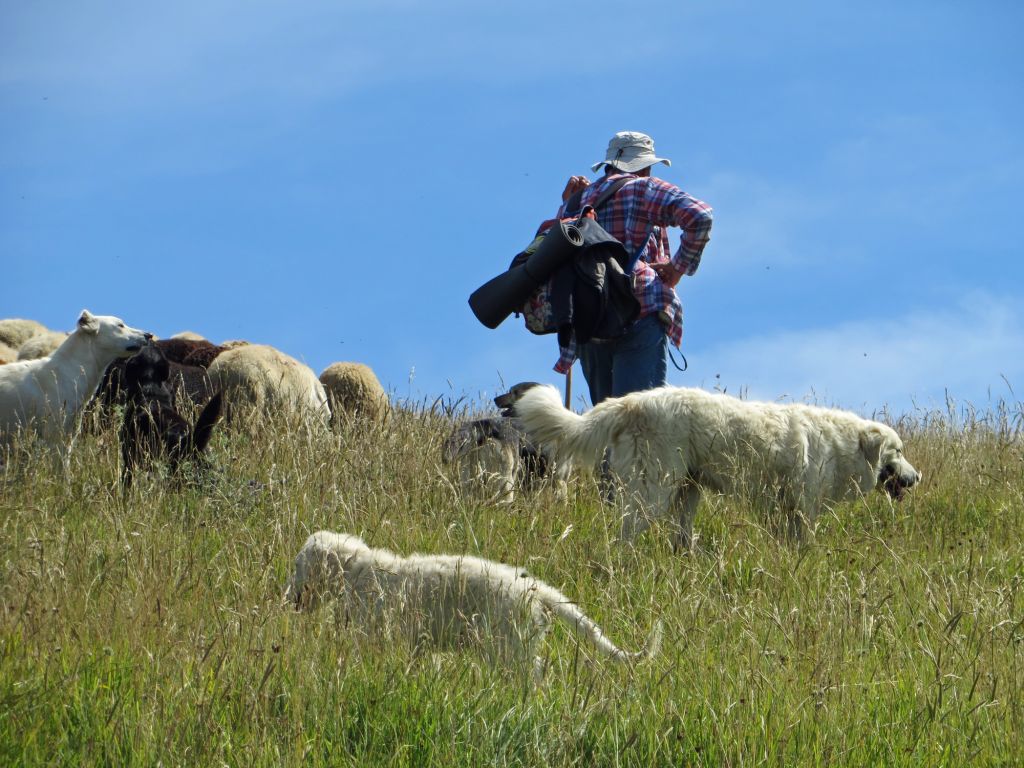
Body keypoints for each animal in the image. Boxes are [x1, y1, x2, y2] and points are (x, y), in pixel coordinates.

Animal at [507, 385, 925, 548]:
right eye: (899, 451)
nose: (918, 477)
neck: (844, 445)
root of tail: (631, 401)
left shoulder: (785, 511)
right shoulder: (802, 509)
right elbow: (806, 545)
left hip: (686, 493)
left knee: (679, 538)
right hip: (654, 490)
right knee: (624, 537)